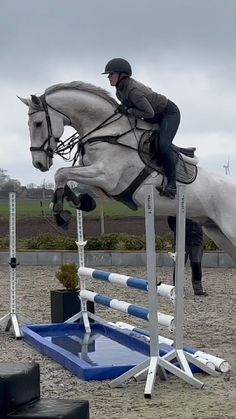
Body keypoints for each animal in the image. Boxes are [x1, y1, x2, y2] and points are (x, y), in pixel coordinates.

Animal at [18, 82, 236, 262]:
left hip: (229, 230)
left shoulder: (106, 176)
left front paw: (60, 214)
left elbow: (61, 173)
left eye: (37, 123)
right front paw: (81, 203)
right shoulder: (98, 179)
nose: (38, 163)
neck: (107, 131)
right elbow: (68, 178)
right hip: (217, 232)